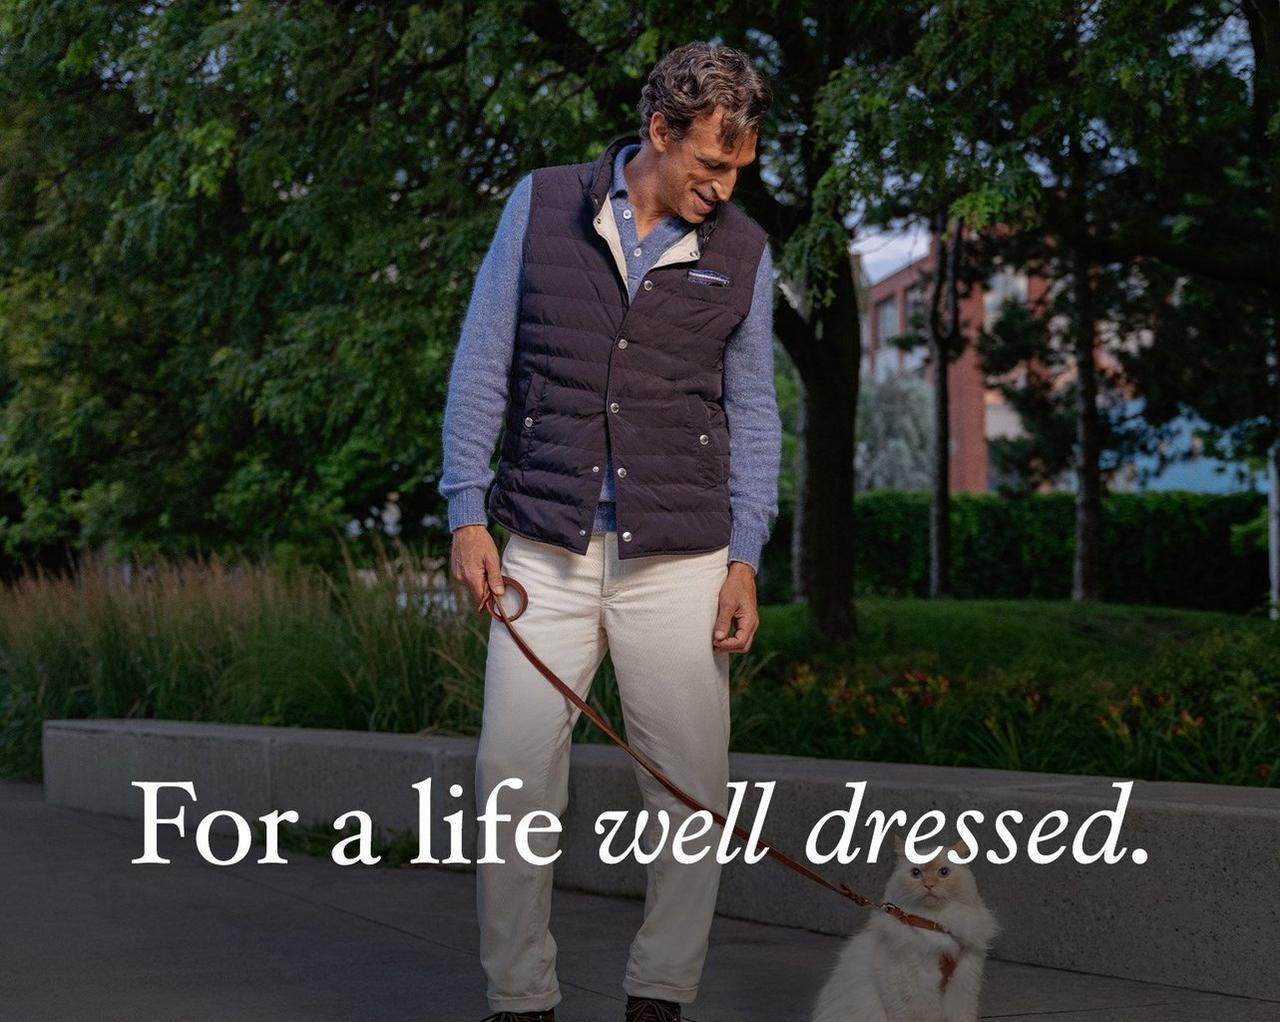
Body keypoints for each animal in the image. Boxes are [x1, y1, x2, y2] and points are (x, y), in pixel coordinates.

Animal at [808, 835, 998, 1019]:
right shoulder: (912, 989)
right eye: (916, 873)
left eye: (943, 872)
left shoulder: (963, 987)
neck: (935, 924)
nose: (929, 885)